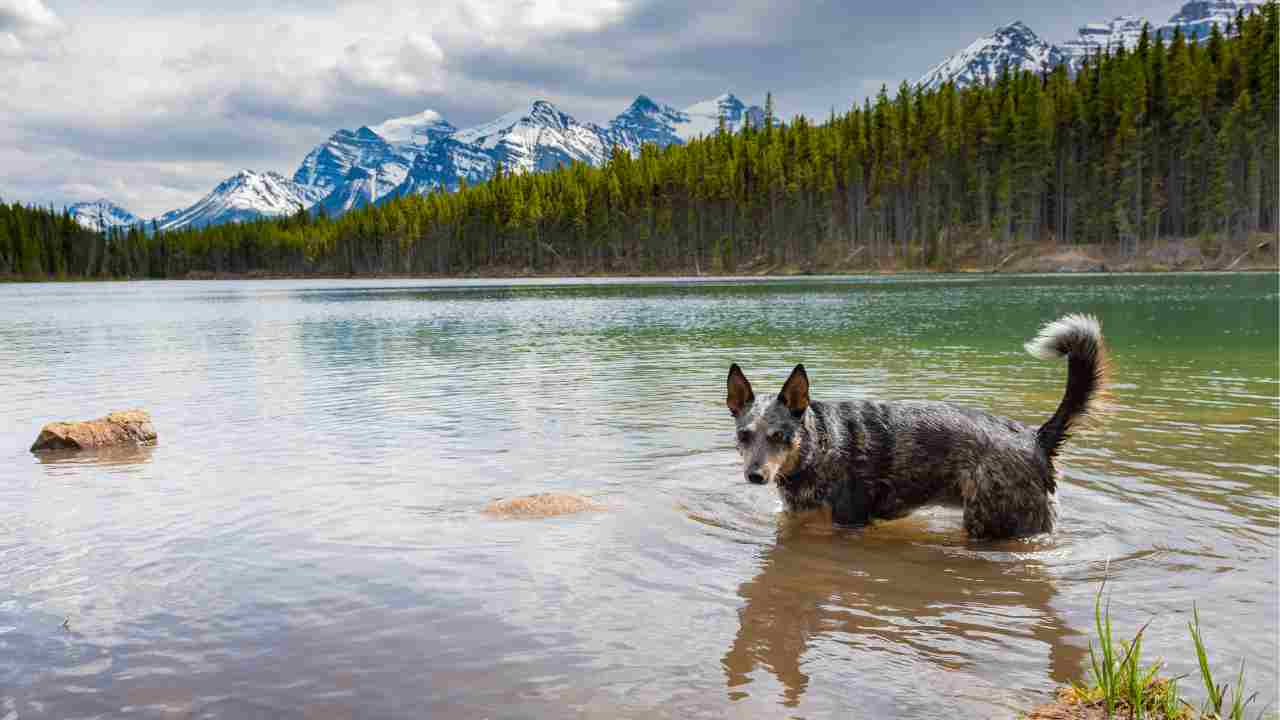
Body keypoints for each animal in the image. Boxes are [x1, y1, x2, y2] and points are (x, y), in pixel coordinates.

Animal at [732, 313, 1111, 538]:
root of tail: (1036, 438)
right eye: (744, 436)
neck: (819, 445)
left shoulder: (849, 523)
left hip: (993, 525)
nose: (755, 476)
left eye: (780, 436)